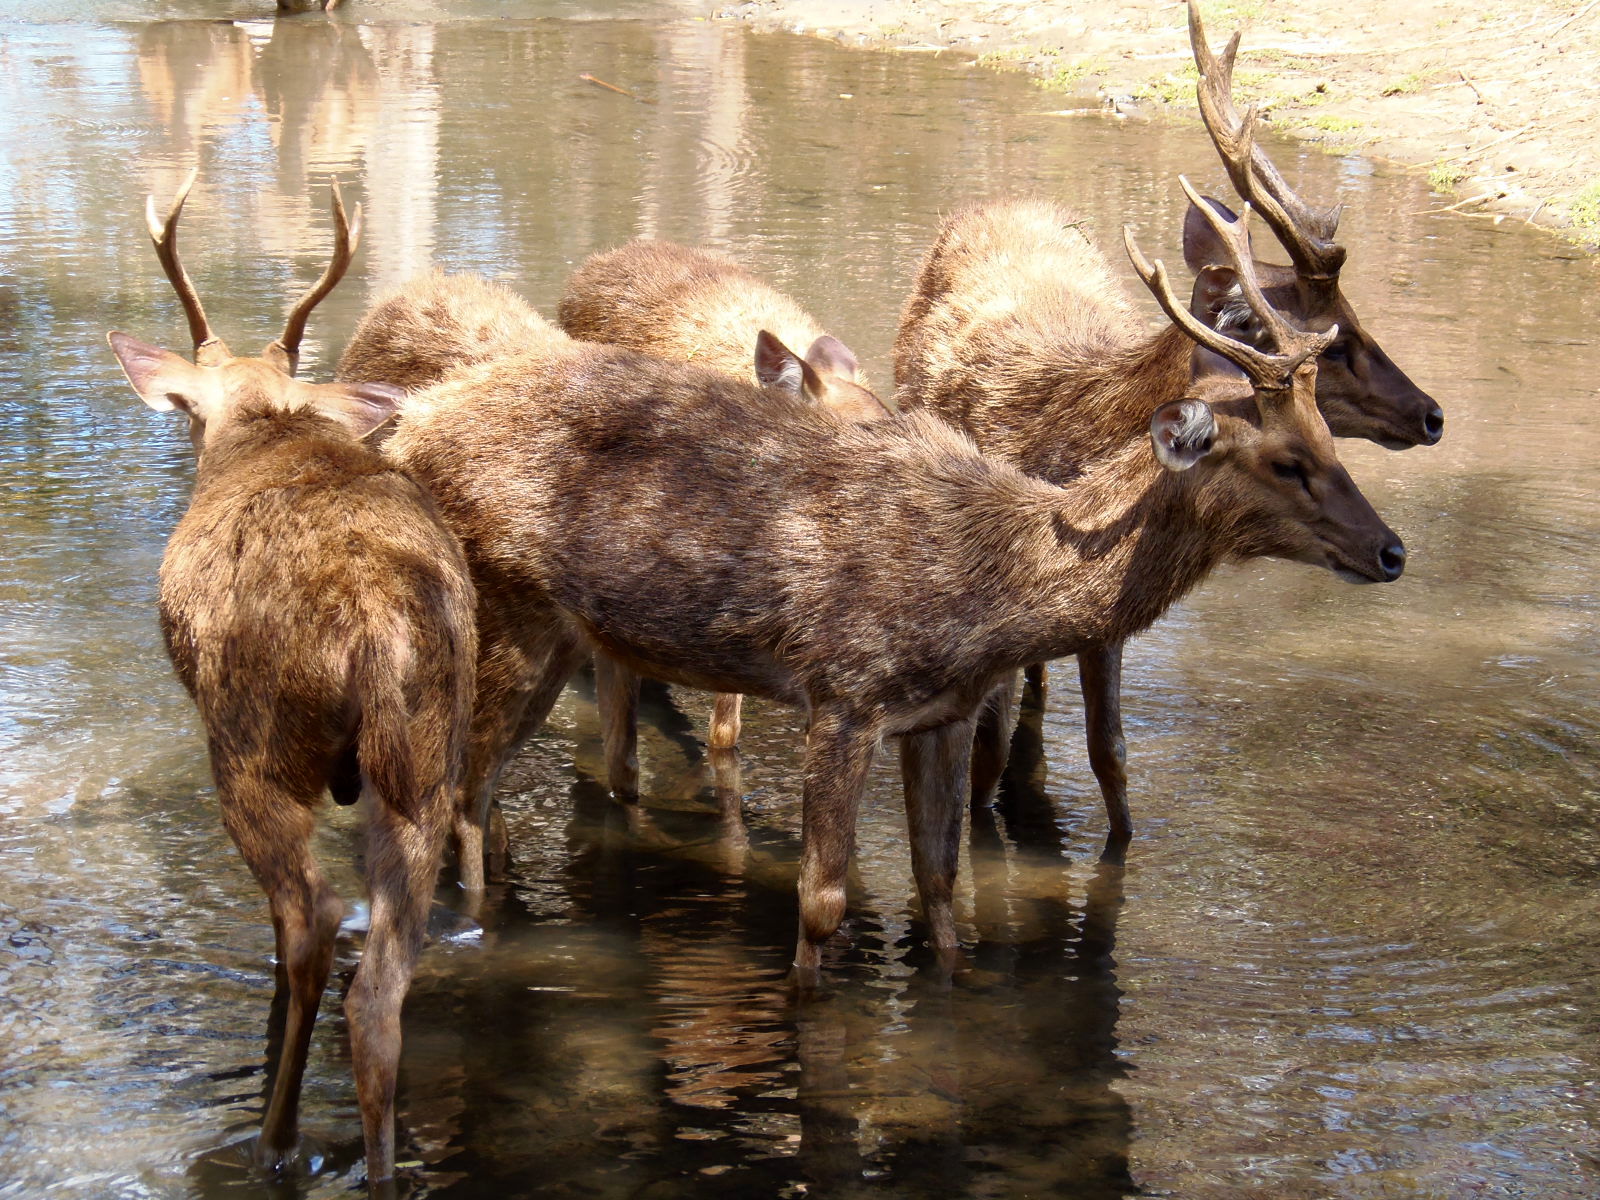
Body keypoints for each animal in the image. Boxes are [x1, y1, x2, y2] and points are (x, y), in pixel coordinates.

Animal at [106, 172, 476, 1193]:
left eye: (189, 414)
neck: (265, 433)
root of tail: (377, 627)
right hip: (422, 765)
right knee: (378, 989)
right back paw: (377, 1167)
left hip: (250, 743)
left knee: (310, 918)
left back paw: (273, 1142)